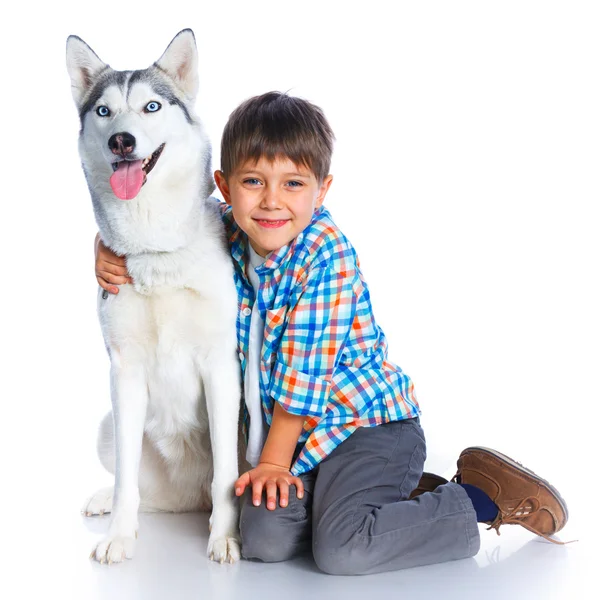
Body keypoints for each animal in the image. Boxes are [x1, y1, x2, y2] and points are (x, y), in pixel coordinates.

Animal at [65, 30, 244, 564]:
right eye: (104, 111)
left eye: (151, 106)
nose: (121, 140)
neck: (155, 247)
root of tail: (186, 499)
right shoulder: (124, 372)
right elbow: (127, 477)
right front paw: (119, 538)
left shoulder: (221, 366)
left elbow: (228, 474)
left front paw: (224, 538)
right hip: (106, 426)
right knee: (139, 487)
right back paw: (106, 500)